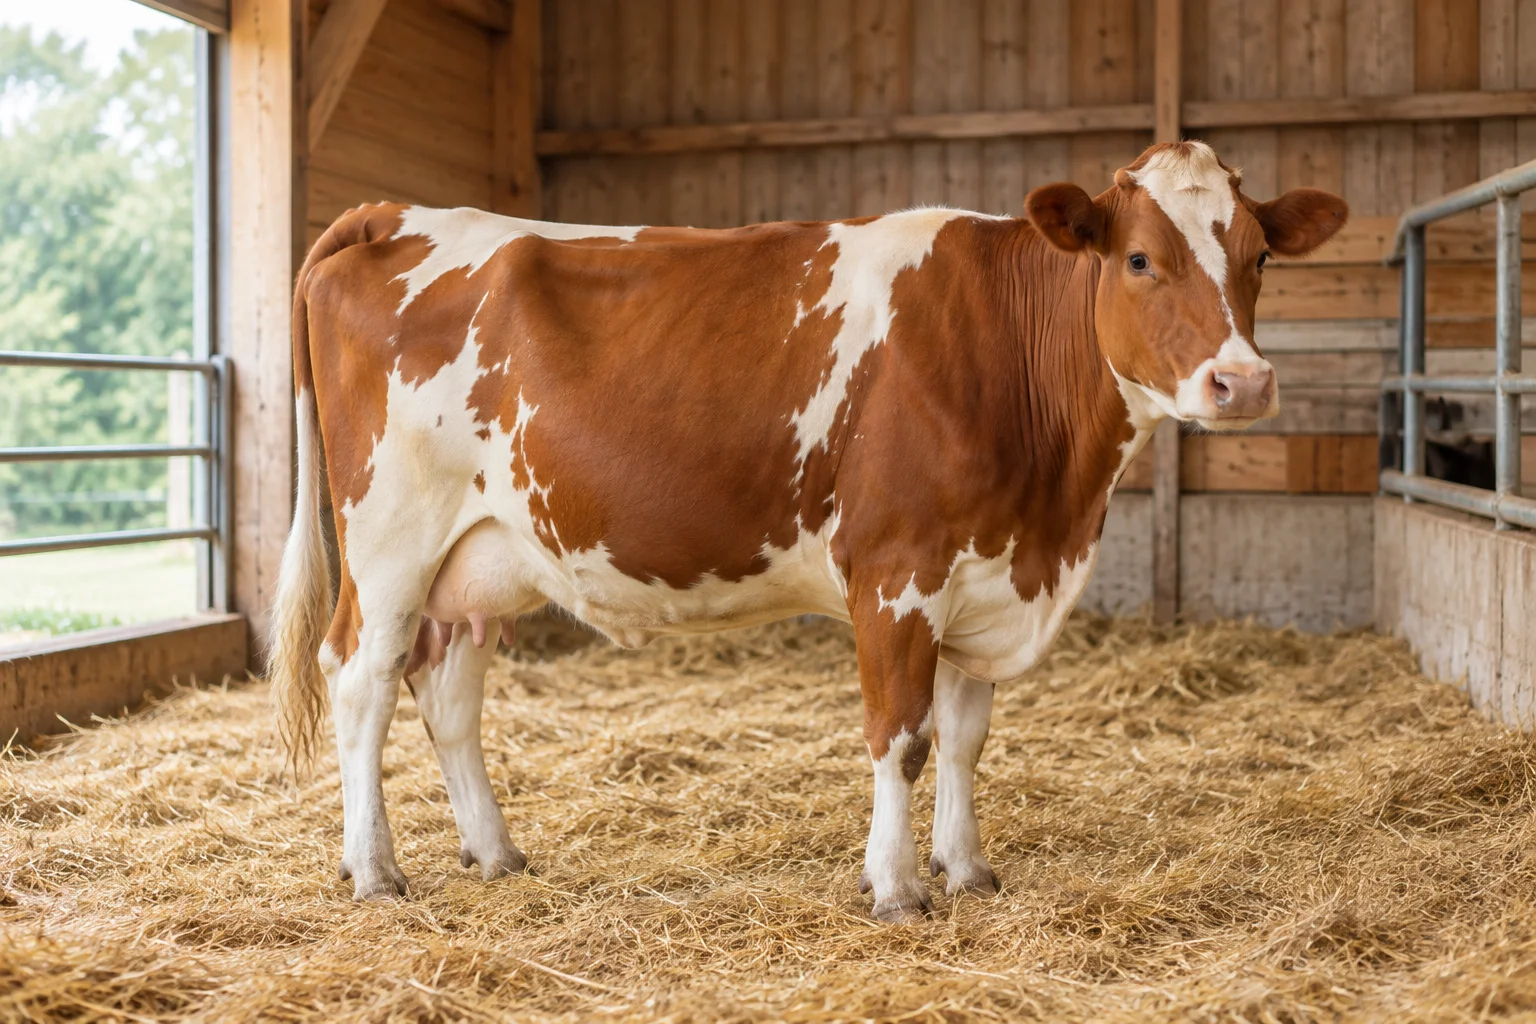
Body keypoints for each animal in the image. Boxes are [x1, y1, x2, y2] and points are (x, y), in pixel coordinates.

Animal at [269, 141, 1347, 922]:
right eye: (1137, 258)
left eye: (1257, 257)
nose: (1243, 381)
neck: (1054, 512)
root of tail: (395, 214)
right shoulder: (898, 573)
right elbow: (901, 736)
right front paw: (897, 888)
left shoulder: (982, 573)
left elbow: (965, 737)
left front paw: (966, 866)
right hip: (391, 535)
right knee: (360, 678)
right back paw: (374, 871)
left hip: (477, 556)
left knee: (447, 690)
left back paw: (494, 852)